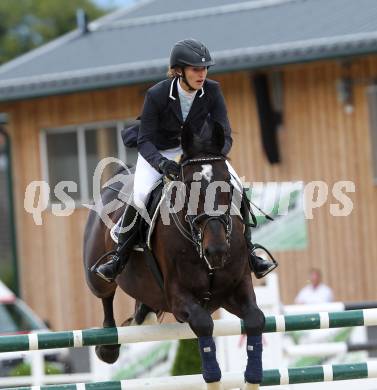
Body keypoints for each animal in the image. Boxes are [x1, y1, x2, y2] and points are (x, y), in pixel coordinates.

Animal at [83, 122, 264, 390]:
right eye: (188, 185)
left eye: (227, 184)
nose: (217, 251)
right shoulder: (179, 298)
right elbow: (203, 324)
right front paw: (212, 377)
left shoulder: (235, 289)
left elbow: (256, 319)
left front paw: (252, 377)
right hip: (96, 275)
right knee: (105, 295)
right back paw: (108, 347)